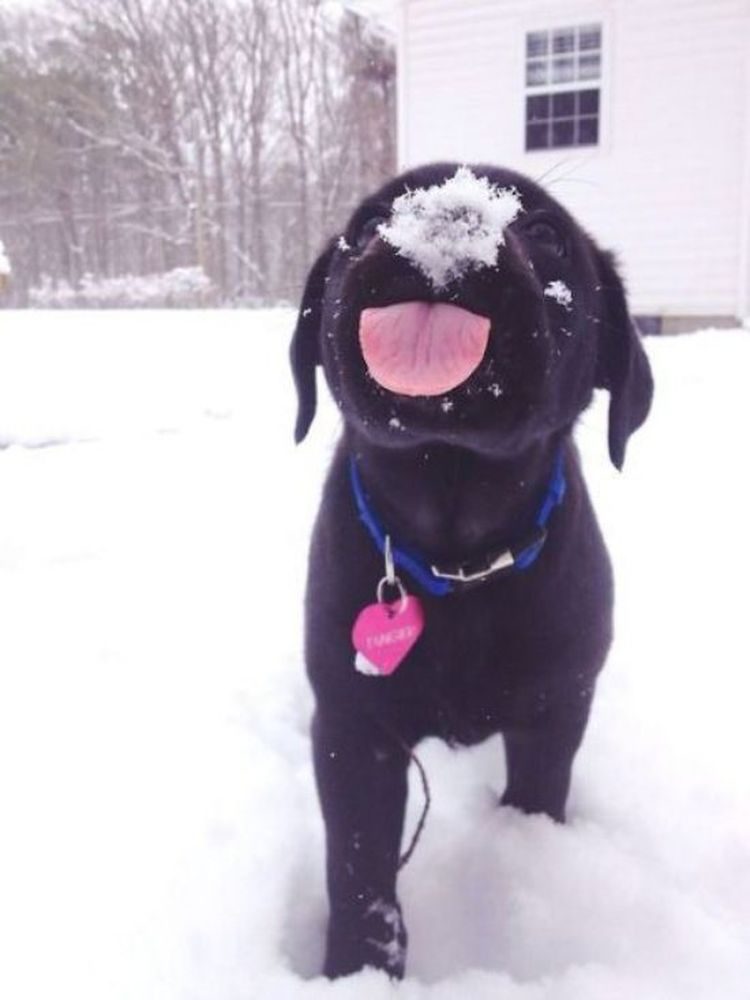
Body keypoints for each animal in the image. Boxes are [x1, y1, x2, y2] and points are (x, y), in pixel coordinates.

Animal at [290, 162, 656, 976]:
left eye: (547, 232)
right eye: (368, 225)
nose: (447, 210)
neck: (455, 559)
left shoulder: (556, 710)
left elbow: (538, 795)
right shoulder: (354, 729)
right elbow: (358, 869)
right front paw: (358, 972)